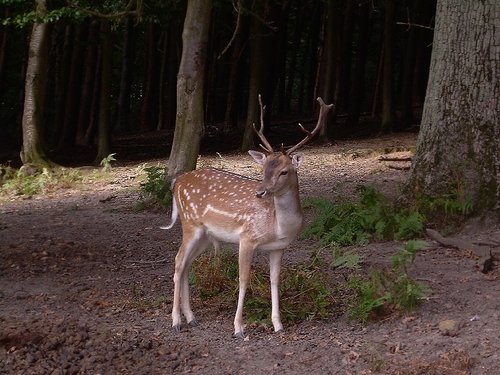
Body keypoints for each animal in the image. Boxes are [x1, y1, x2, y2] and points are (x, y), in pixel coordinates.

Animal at [164, 96, 334, 338]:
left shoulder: (279, 247)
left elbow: (275, 281)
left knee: (187, 264)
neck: (279, 226)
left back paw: (191, 317)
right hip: (190, 223)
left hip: (205, 235)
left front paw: (278, 324)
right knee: (178, 261)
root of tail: (177, 181)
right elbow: (243, 279)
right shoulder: (247, 238)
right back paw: (176, 321)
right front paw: (238, 328)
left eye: (284, 171)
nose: (260, 192)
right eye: (263, 169)